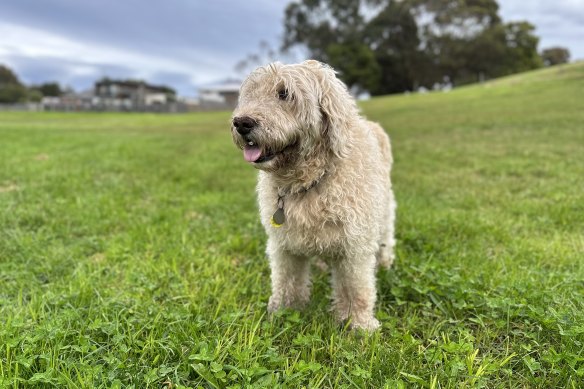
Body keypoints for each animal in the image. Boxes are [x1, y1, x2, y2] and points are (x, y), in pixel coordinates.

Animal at [230, 60, 394, 330]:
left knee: (386, 236)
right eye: (251, 94)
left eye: (285, 93)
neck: (306, 183)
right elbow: (286, 280)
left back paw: (385, 261)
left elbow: (355, 288)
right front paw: (282, 311)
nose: (242, 123)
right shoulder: (284, 244)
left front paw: (358, 325)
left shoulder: (354, 246)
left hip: (384, 210)